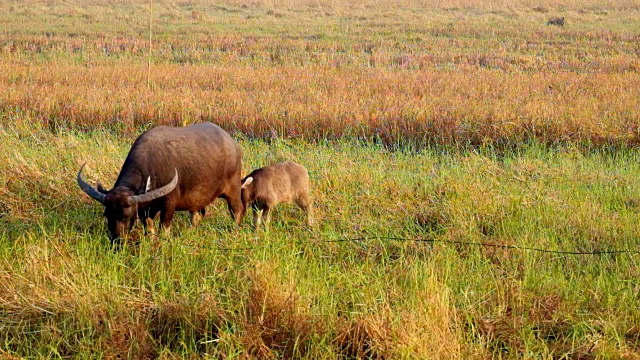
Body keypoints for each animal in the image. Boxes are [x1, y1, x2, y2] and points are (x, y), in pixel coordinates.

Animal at [75, 121, 245, 242]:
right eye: (107, 214)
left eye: (126, 216)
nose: (117, 240)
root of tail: (232, 144)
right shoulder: (145, 209)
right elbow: (149, 228)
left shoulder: (169, 204)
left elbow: (164, 228)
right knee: (197, 214)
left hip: (233, 189)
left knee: (237, 210)